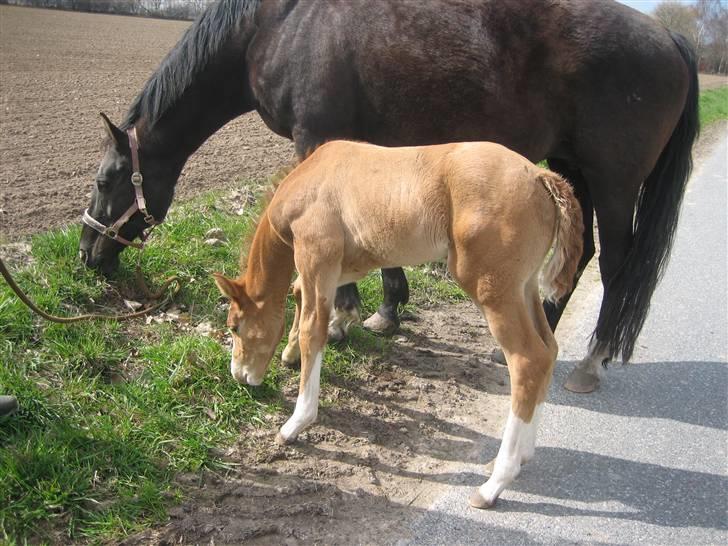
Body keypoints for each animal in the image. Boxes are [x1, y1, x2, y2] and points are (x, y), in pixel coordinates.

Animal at [79, 0, 700, 392]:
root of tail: (670, 37)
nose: (87, 252)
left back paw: (591, 363)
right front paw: (386, 310)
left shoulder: (316, 138)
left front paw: (340, 318)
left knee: (616, 265)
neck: (275, 24)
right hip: (572, 172)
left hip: (615, 183)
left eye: (107, 180)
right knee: (578, 257)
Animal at [213, 140, 584, 506]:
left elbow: (312, 329)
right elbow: (298, 294)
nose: (239, 375)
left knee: (527, 360)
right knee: (548, 350)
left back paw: (494, 484)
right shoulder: (339, 269)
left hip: (492, 289)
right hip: (525, 286)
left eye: (234, 326)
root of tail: (540, 176)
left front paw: (295, 423)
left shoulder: (316, 257)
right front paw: (290, 354)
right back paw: (522, 454)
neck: (307, 180)